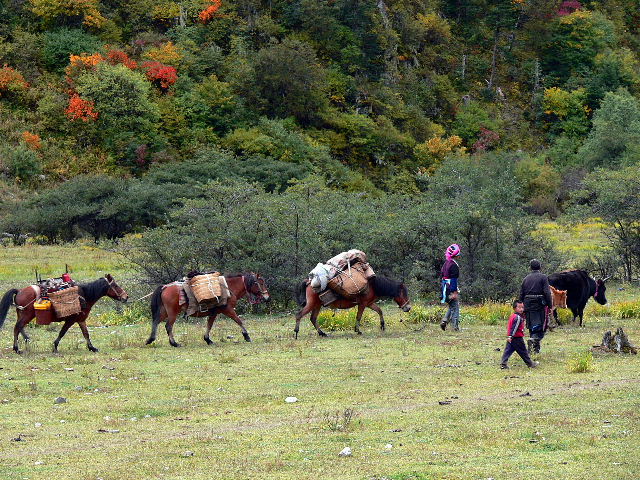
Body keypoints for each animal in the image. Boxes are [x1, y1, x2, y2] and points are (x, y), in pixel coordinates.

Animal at [0, 276, 129, 354]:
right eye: (115, 285)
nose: (126, 297)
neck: (84, 296)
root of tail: (19, 291)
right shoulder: (70, 320)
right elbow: (62, 332)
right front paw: (55, 346)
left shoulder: (81, 320)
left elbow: (86, 333)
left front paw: (92, 347)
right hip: (27, 315)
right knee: (17, 327)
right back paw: (17, 349)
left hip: (21, 314)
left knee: (19, 327)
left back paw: (26, 340)